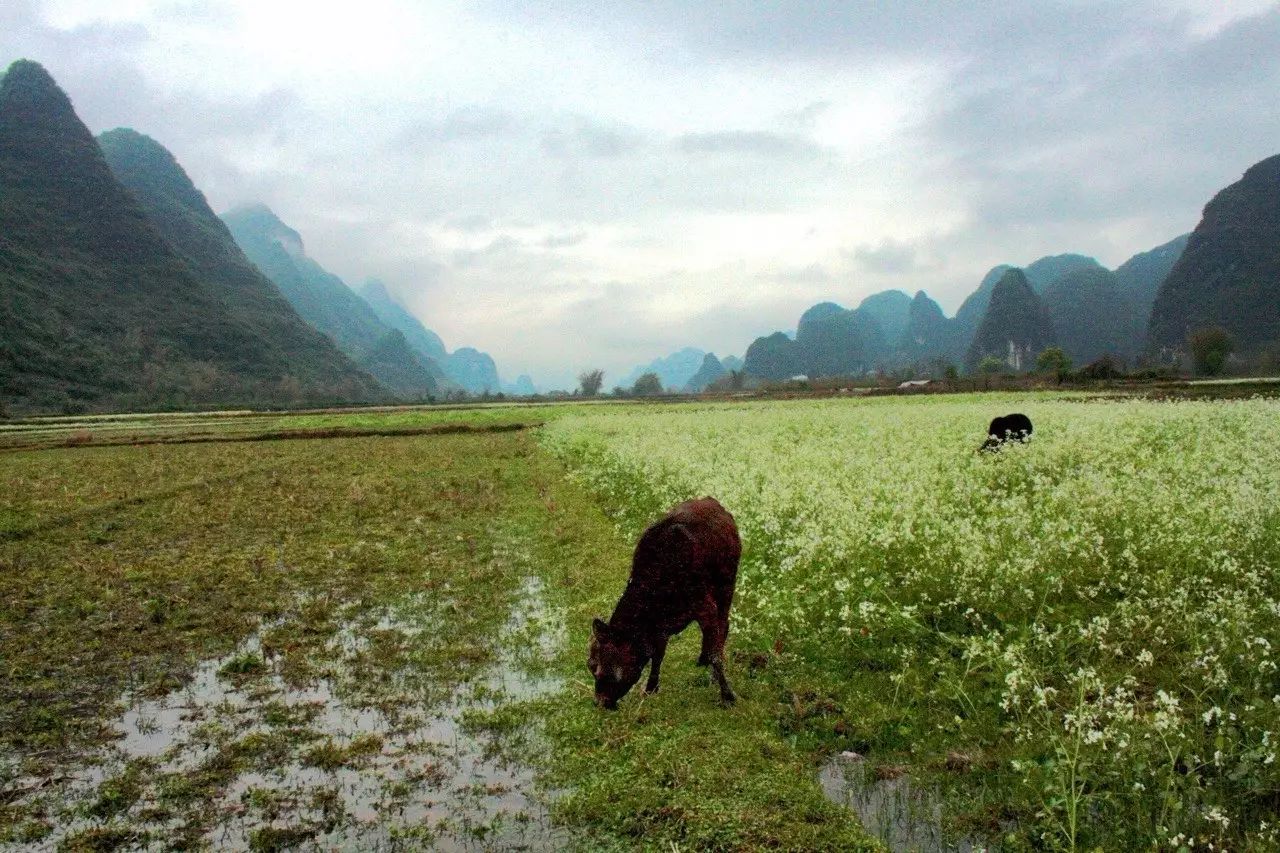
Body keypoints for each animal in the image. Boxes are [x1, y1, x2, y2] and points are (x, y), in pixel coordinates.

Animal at [588, 494, 742, 706]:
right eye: (590, 665)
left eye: (597, 666)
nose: (599, 702)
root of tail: (711, 501)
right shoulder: (660, 625)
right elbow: (658, 654)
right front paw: (650, 688)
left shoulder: (705, 607)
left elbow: (715, 653)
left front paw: (727, 695)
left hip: (726, 584)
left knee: (724, 626)